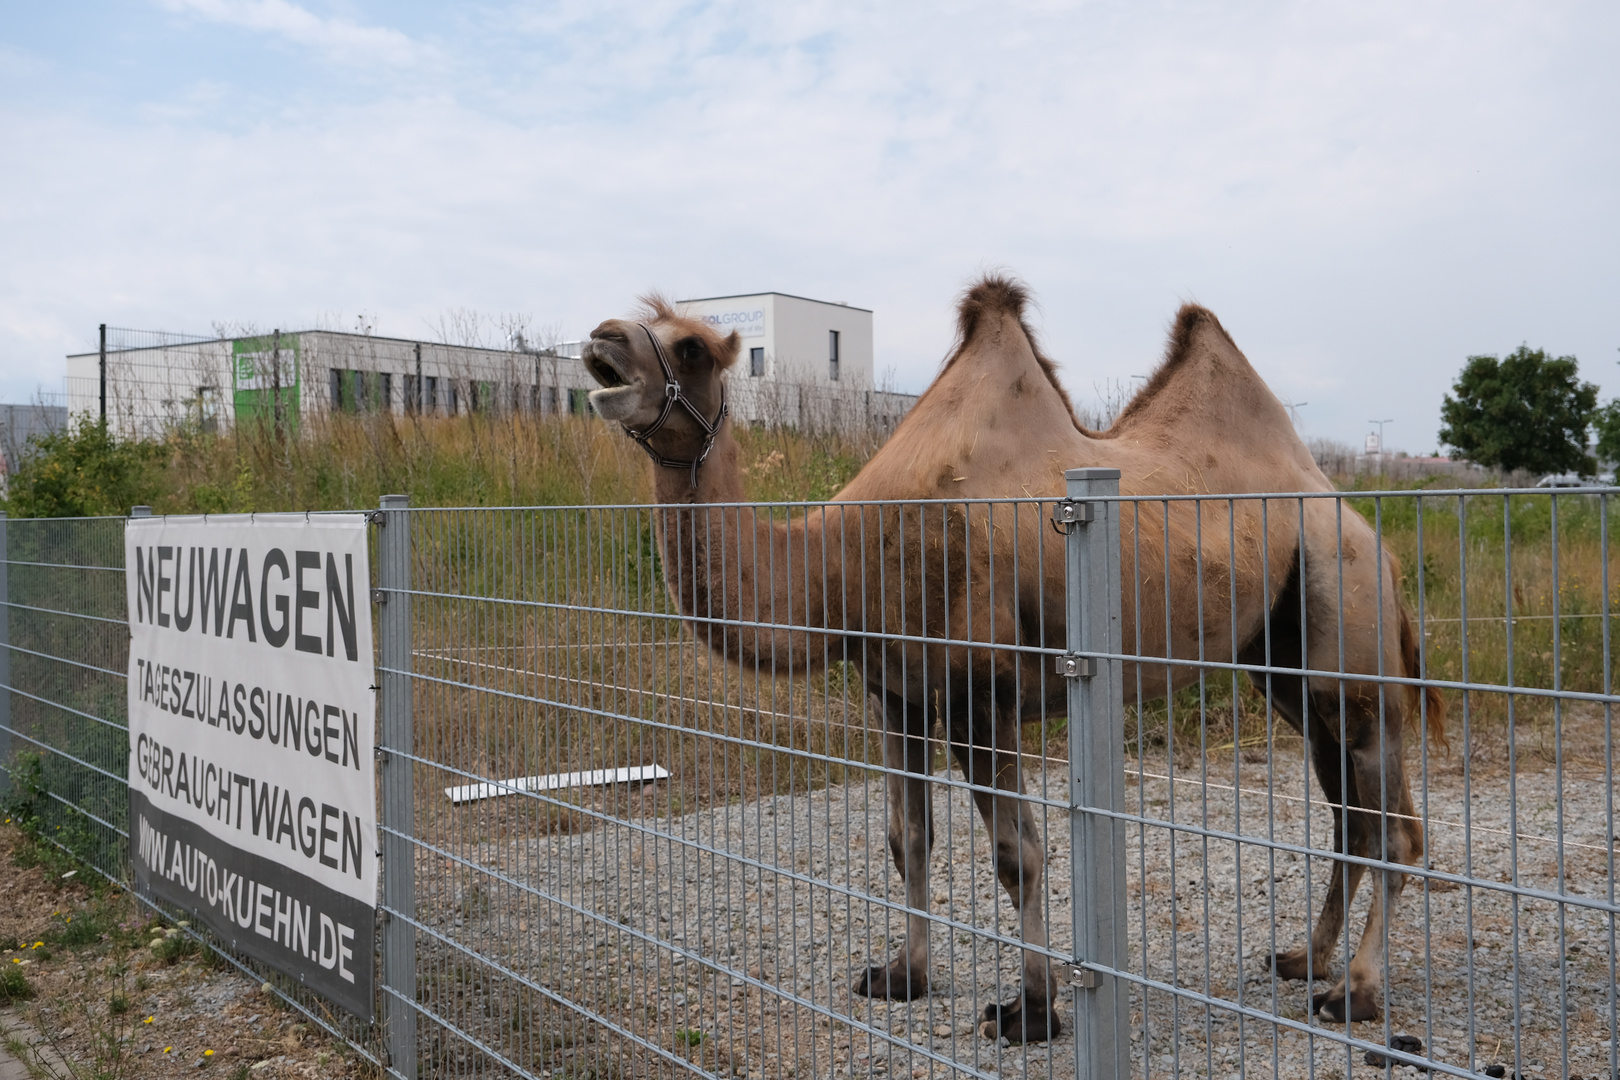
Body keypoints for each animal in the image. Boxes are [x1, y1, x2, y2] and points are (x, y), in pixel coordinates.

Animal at [583, 275, 1445, 1042]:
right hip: (1282, 663)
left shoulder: (980, 689)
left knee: (1393, 826)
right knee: (1349, 815)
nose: (601, 340)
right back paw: (1306, 957)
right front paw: (902, 976)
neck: (847, 560)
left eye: (691, 347)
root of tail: (1365, 524)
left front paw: (1032, 1011)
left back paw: (1356, 993)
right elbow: (906, 837)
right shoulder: (896, 689)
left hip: (1348, 618)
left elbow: (1017, 854)